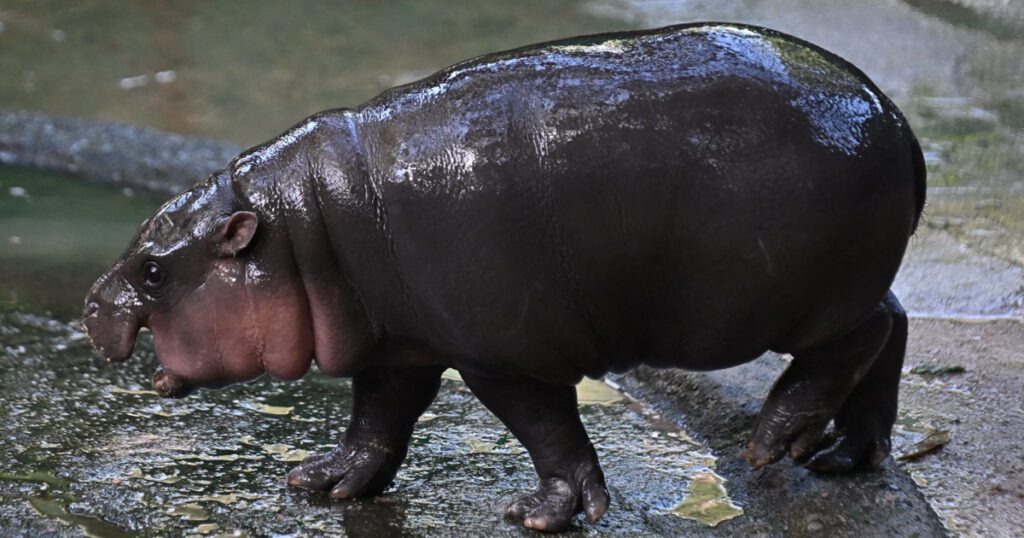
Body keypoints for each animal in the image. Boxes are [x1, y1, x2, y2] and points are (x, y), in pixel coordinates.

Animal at [83, 23, 925, 528]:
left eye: (153, 270)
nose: (92, 303)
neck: (301, 229)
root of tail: (894, 116)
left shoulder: (501, 353)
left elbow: (548, 431)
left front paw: (542, 514)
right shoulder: (400, 343)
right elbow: (377, 419)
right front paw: (323, 482)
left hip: (796, 300)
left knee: (856, 342)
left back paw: (774, 440)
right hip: (844, 284)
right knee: (894, 324)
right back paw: (844, 456)